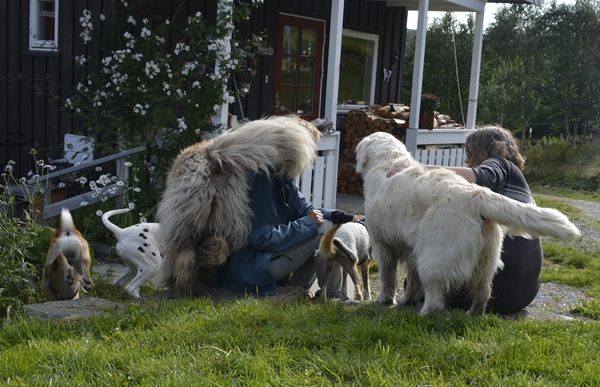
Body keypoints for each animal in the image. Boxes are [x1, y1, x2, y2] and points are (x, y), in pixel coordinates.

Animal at [157, 115, 322, 294]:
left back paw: (186, 283)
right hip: (217, 215)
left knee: (190, 251)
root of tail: (212, 156)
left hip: (198, 218)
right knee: (209, 248)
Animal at [356, 132, 580, 316]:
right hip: (485, 263)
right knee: (483, 292)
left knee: (436, 296)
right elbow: (411, 281)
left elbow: (388, 277)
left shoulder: (382, 244)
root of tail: (475, 194)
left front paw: (385, 299)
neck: (388, 163)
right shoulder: (411, 251)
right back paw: (472, 314)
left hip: (433, 258)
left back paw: (425, 314)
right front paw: (406, 299)